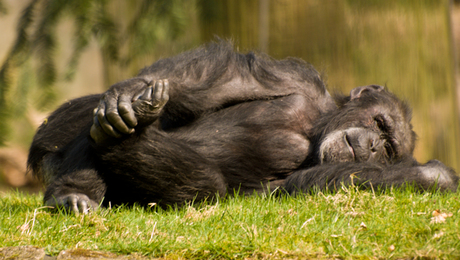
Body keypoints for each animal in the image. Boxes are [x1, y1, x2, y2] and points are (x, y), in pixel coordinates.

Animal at [27, 41, 456, 213]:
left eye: (389, 149)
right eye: (379, 124)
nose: (371, 145)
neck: (314, 129)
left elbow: (301, 185)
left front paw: (433, 176)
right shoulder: (296, 79)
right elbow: (216, 79)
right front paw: (130, 91)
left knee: (204, 186)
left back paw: (125, 143)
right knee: (89, 125)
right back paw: (74, 191)